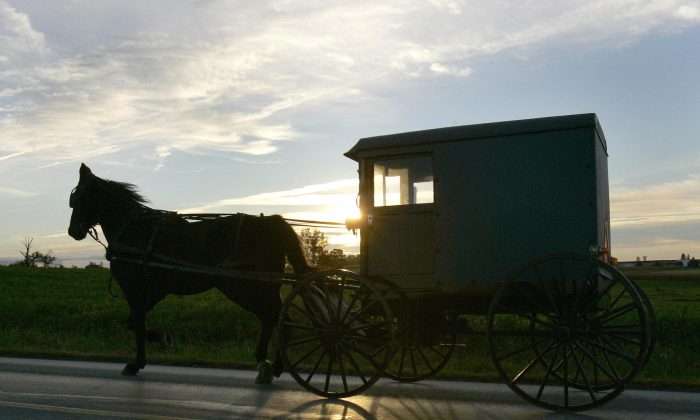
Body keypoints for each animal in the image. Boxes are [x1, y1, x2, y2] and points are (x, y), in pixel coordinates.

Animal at [67, 162, 314, 382]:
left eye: (76, 198)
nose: (72, 231)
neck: (135, 228)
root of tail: (270, 221)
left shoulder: (134, 288)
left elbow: (136, 324)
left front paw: (140, 359)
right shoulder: (154, 291)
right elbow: (133, 322)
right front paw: (159, 341)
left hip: (243, 286)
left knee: (273, 317)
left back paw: (265, 363)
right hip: (263, 287)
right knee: (280, 318)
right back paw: (274, 365)